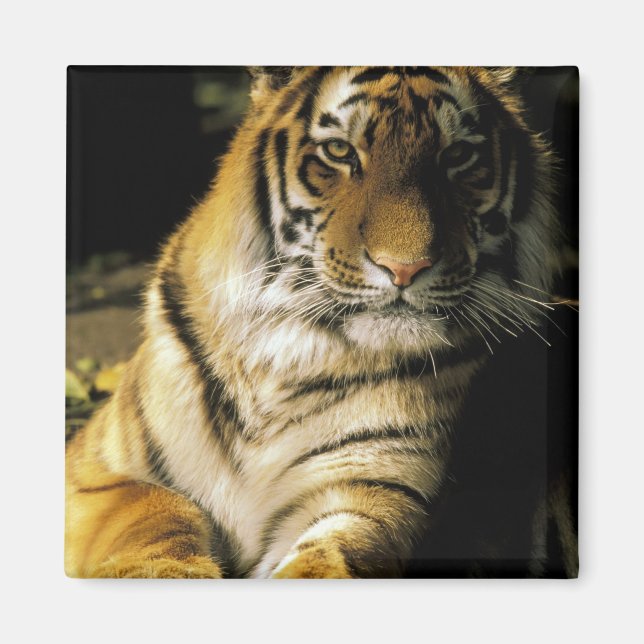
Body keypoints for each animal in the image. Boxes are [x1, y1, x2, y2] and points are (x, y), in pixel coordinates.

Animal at [65, 66, 562, 578]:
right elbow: (155, 508)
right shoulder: (95, 472)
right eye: (339, 151)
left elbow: (327, 556)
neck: (282, 356)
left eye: (458, 155)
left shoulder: (374, 492)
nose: (405, 268)